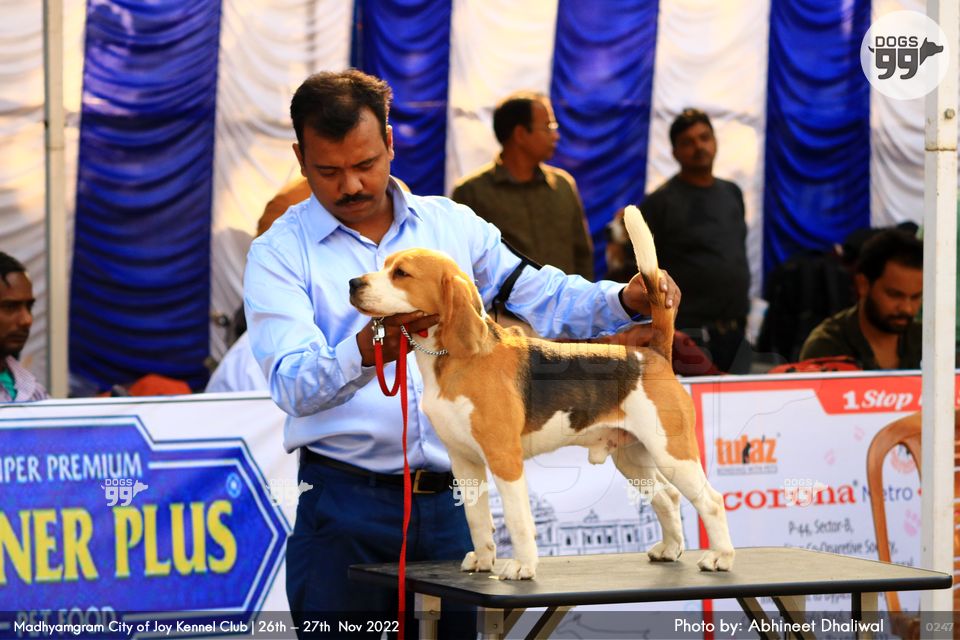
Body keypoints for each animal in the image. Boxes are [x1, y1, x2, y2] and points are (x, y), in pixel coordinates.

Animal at [349, 205, 734, 580]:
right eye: (384, 267)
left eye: (401, 273)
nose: (354, 283)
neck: (454, 359)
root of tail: (652, 353)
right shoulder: (464, 461)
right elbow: (477, 519)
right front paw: (483, 560)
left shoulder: (504, 458)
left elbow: (518, 520)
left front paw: (522, 567)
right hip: (633, 457)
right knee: (668, 497)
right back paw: (670, 548)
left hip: (672, 452)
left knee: (711, 501)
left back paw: (720, 557)